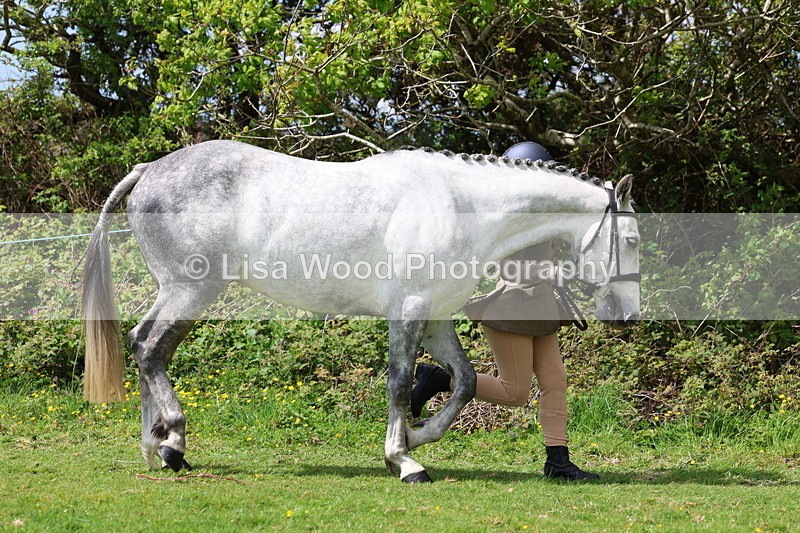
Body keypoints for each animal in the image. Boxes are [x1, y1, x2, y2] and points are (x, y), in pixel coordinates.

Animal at [82, 140, 640, 483]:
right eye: (632, 240)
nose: (627, 318)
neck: (460, 206)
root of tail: (149, 170)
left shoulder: (435, 318)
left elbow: (463, 382)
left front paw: (417, 435)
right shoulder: (408, 312)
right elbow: (399, 383)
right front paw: (405, 460)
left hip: (182, 293)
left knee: (145, 345)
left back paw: (155, 446)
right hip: (191, 291)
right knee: (150, 347)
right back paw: (172, 442)